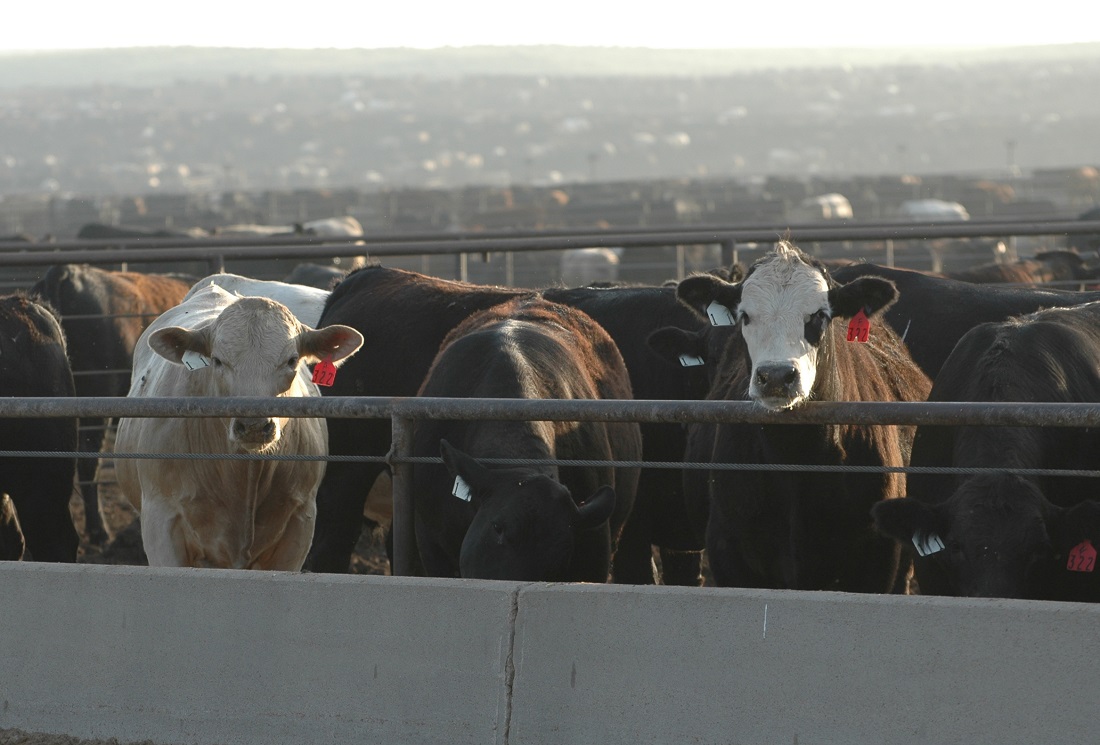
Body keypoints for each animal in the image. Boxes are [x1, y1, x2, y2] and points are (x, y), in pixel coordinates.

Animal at [670, 241, 932, 591]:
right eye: (745, 316)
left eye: (819, 316)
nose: (777, 376)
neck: (793, 457)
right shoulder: (729, 553)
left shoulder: (875, 564)